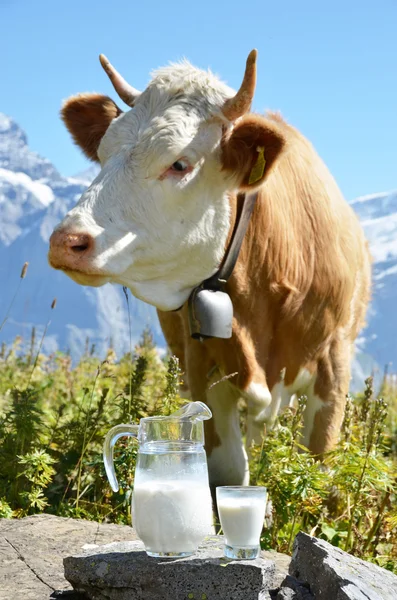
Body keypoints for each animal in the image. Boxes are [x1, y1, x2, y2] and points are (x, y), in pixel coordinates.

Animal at [48, 50, 372, 492]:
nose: (66, 241)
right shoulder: (201, 359)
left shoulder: (334, 363)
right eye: (102, 155)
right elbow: (227, 467)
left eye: (180, 164)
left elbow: (318, 465)